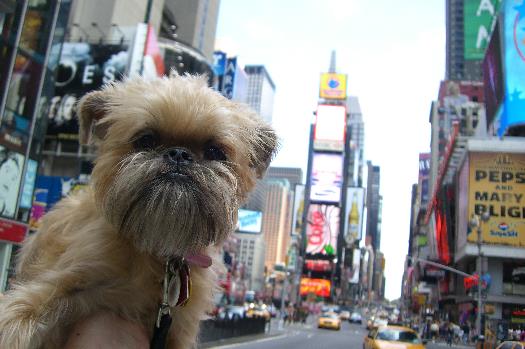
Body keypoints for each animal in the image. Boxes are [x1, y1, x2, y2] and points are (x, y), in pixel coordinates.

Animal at [0, 75, 278, 346]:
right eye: (146, 140)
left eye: (214, 151)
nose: (179, 154)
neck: (156, 251)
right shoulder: (65, 280)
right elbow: (18, 314)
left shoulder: (177, 330)